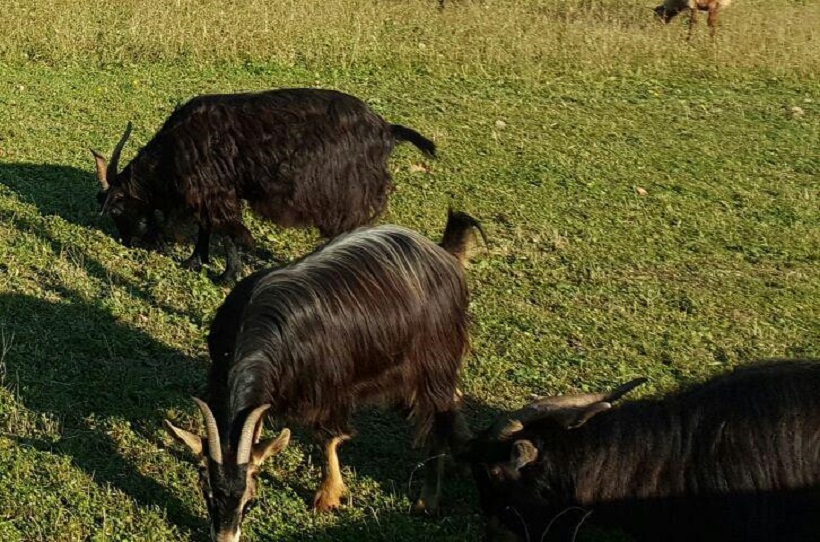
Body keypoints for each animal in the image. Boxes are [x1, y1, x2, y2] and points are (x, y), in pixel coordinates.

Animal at [89, 87, 436, 282]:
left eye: (117, 209)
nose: (127, 242)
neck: (176, 149)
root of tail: (386, 129)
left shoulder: (217, 193)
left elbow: (229, 234)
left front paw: (227, 276)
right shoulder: (210, 191)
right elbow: (206, 227)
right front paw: (194, 261)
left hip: (346, 191)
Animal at [163, 210, 484, 540]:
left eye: (249, 498)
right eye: (207, 493)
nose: (226, 537)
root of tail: (444, 254)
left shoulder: (329, 387)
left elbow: (326, 438)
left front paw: (328, 496)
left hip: (434, 359)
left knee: (436, 414)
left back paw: (427, 500)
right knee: (452, 398)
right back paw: (463, 454)